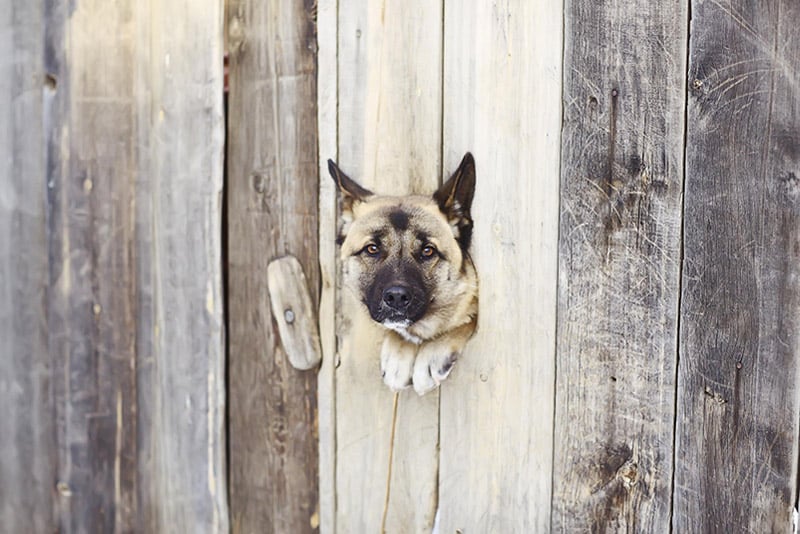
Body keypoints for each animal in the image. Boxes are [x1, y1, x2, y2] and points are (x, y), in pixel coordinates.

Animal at [328, 153, 478, 396]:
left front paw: (432, 354)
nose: (396, 298)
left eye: (428, 251)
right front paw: (398, 354)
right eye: (372, 249)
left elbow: (468, 323)